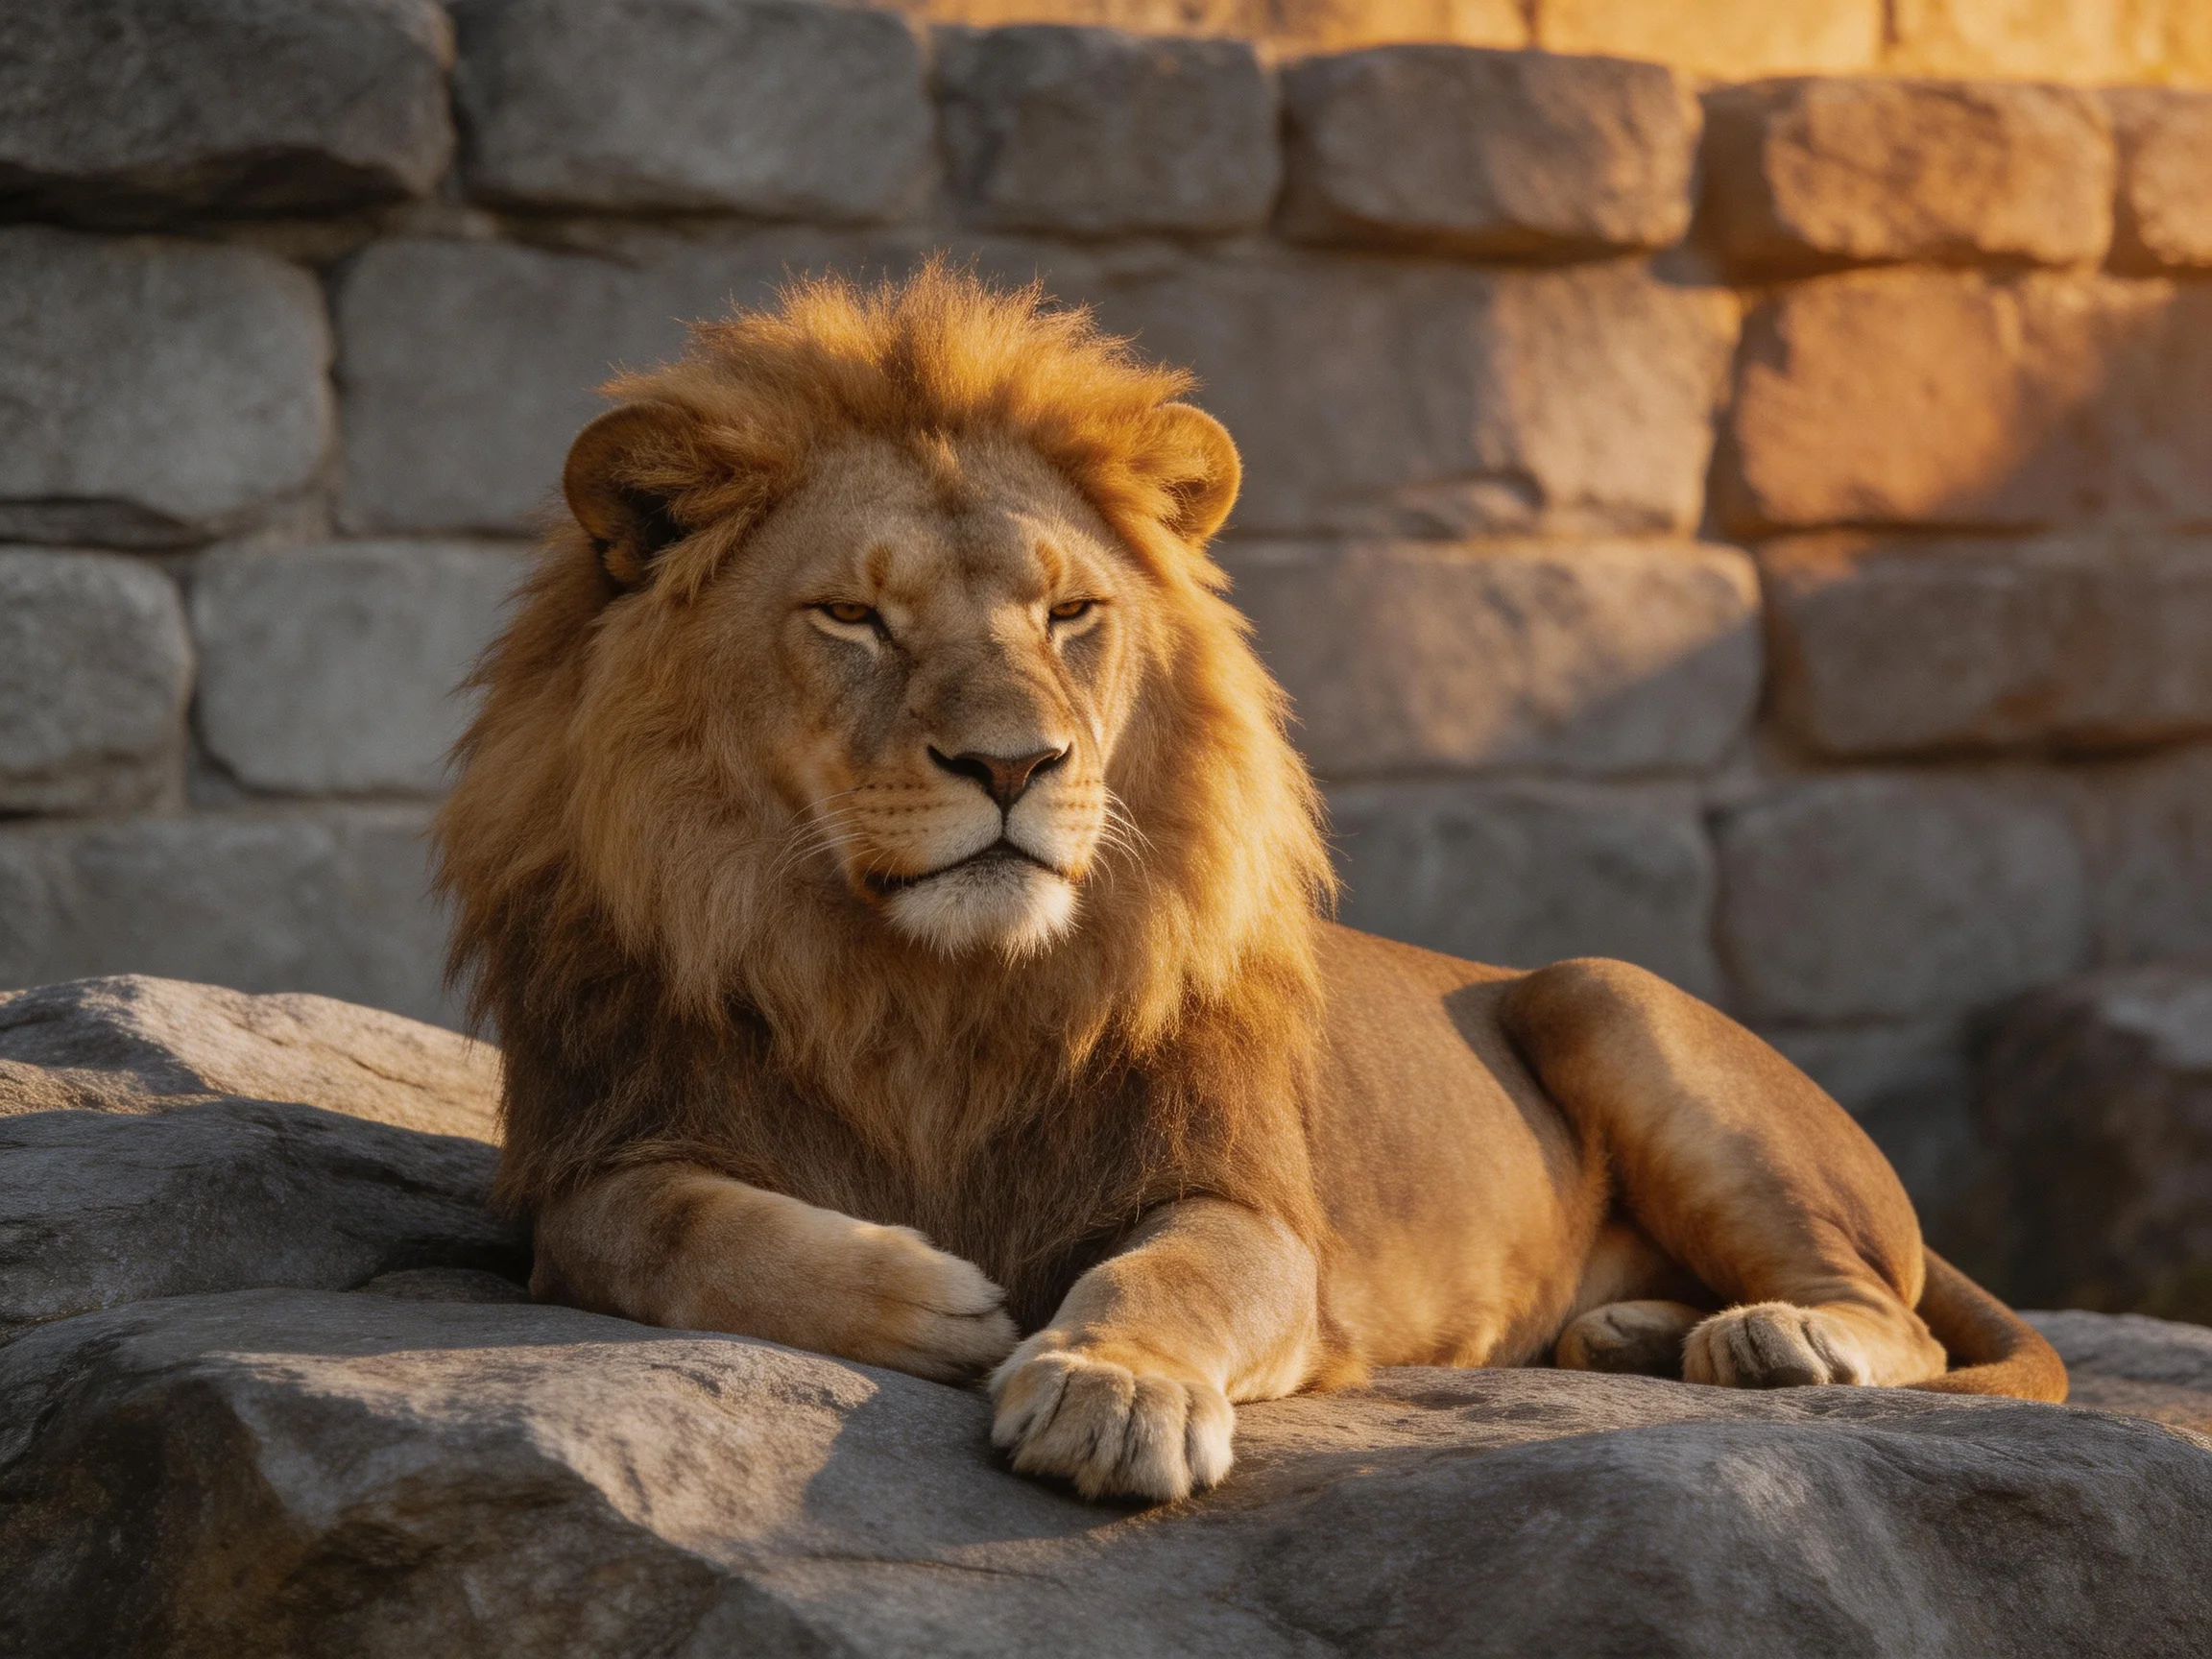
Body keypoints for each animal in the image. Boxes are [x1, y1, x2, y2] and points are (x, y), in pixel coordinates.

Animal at [435, 264, 2065, 1504]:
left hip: (1609, 998)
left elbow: (1171, 1283)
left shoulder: (1250, 1211)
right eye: (851, 617)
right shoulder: (593, 1162)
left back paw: (1772, 1339)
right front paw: (934, 1299)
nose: (1015, 763)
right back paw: (1637, 1332)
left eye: (1070, 613)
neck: (925, 991)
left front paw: (1111, 1394)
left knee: (1906, 1321)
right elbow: (673, 1230)